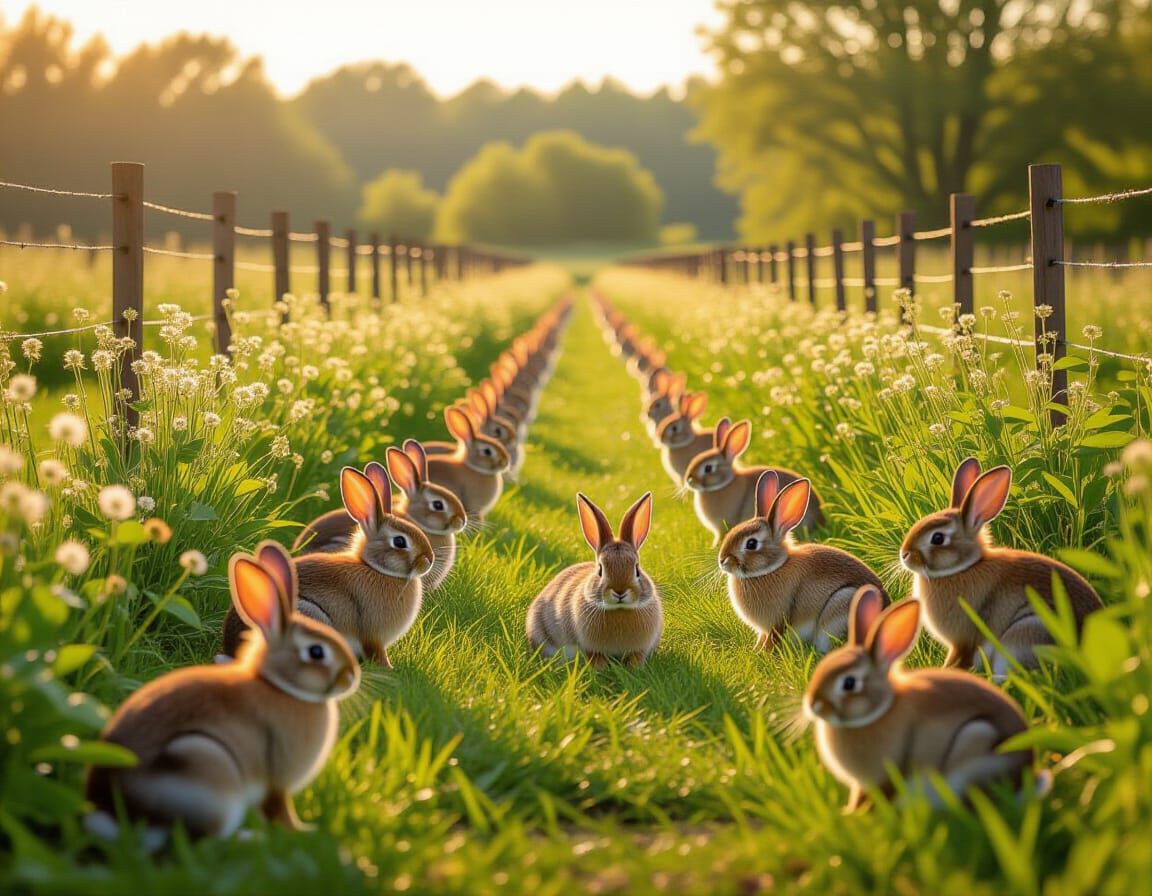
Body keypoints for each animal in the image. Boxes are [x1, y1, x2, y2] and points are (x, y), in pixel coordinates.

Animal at [85, 541, 359, 841]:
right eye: (316, 652)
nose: (351, 677)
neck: (280, 688)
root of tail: (108, 811)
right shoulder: (276, 780)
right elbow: (280, 811)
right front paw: (303, 832)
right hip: (208, 768)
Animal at [224, 466, 434, 667]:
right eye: (399, 541)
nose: (429, 560)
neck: (376, 568)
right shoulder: (373, 636)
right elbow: (377, 653)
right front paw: (388, 668)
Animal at [527, 492, 663, 668]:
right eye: (600, 570)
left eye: (637, 569)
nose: (620, 591)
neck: (619, 609)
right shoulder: (592, 650)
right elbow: (597, 659)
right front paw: (600, 669)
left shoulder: (639, 650)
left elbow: (635, 658)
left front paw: (634, 669)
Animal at [720, 472, 888, 653]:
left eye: (751, 544)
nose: (722, 561)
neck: (772, 568)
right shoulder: (765, 630)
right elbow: (762, 638)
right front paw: (755, 651)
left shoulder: (777, 622)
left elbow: (772, 638)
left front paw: (763, 654)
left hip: (843, 604)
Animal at [805, 586, 1032, 811]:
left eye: (849, 683)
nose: (813, 705)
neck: (880, 710)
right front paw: (848, 812)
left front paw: (855, 814)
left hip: (976, 740)